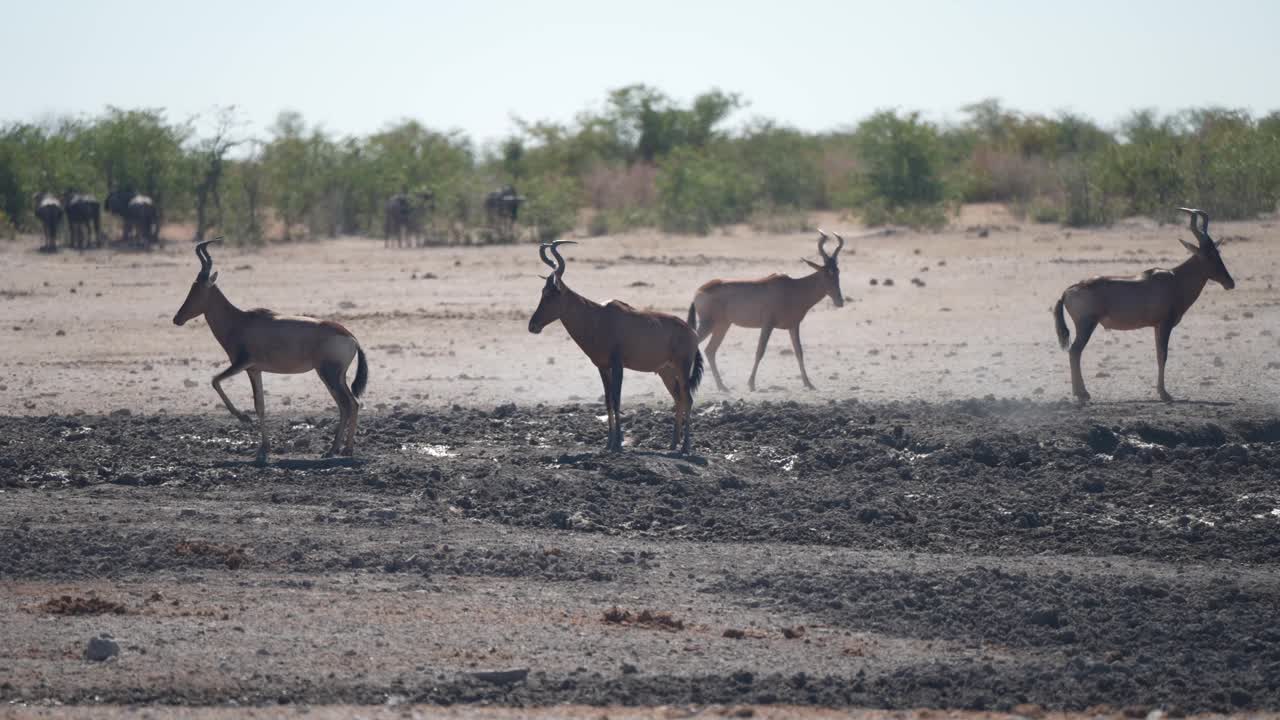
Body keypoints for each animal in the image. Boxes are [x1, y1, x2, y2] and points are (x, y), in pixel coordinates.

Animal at [174, 238, 371, 461]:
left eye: (197, 289)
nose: (177, 318)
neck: (241, 321)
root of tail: (352, 338)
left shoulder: (242, 363)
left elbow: (215, 380)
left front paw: (243, 418)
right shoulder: (254, 369)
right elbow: (260, 406)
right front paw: (263, 449)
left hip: (328, 375)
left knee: (347, 404)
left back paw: (337, 450)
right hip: (336, 376)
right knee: (351, 404)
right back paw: (341, 449)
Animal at [532, 240, 711, 453]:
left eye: (553, 293)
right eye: (542, 292)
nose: (533, 325)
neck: (598, 317)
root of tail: (691, 332)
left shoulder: (618, 365)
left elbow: (617, 399)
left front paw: (618, 443)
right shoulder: (602, 367)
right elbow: (608, 401)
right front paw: (609, 443)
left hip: (682, 367)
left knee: (688, 399)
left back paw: (685, 447)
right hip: (666, 372)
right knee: (678, 398)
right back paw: (672, 443)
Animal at [691, 229, 849, 389]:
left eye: (837, 271)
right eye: (826, 272)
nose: (840, 301)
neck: (793, 288)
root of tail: (699, 291)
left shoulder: (793, 326)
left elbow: (799, 352)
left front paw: (808, 383)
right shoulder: (767, 325)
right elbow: (760, 351)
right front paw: (751, 384)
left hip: (722, 325)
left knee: (710, 350)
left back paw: (723, 387)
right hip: (708, 323)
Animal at [1054, 204, 1233, 399]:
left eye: (1217, 252)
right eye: (1207, 255)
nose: (1230, 282)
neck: (1175, 279)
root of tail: (1067, 292)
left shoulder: (1156, 326)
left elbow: (1158, 355)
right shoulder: (1165, 324)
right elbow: (1163, 355)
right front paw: (1164, 394)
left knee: (1074, 352)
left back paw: (1080, 392)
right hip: (1086, 326)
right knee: (1075, 352)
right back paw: (1082, 394)